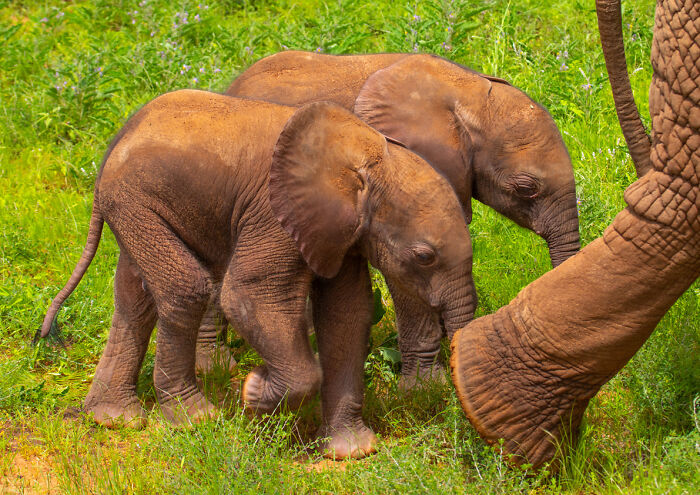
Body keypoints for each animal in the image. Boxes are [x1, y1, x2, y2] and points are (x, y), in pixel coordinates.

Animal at [40, 92, 477, 459]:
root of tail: (117, 140)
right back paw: (194, 418)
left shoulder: (339, 230)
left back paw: (114, 419)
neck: (373, 157)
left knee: (136, 298)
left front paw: (351, 452)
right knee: (185, 288)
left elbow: (346, 316)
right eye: (424, 257)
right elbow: (248, 296)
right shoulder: (274, 214)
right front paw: (253, 391)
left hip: (142, 205)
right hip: (134, 199)